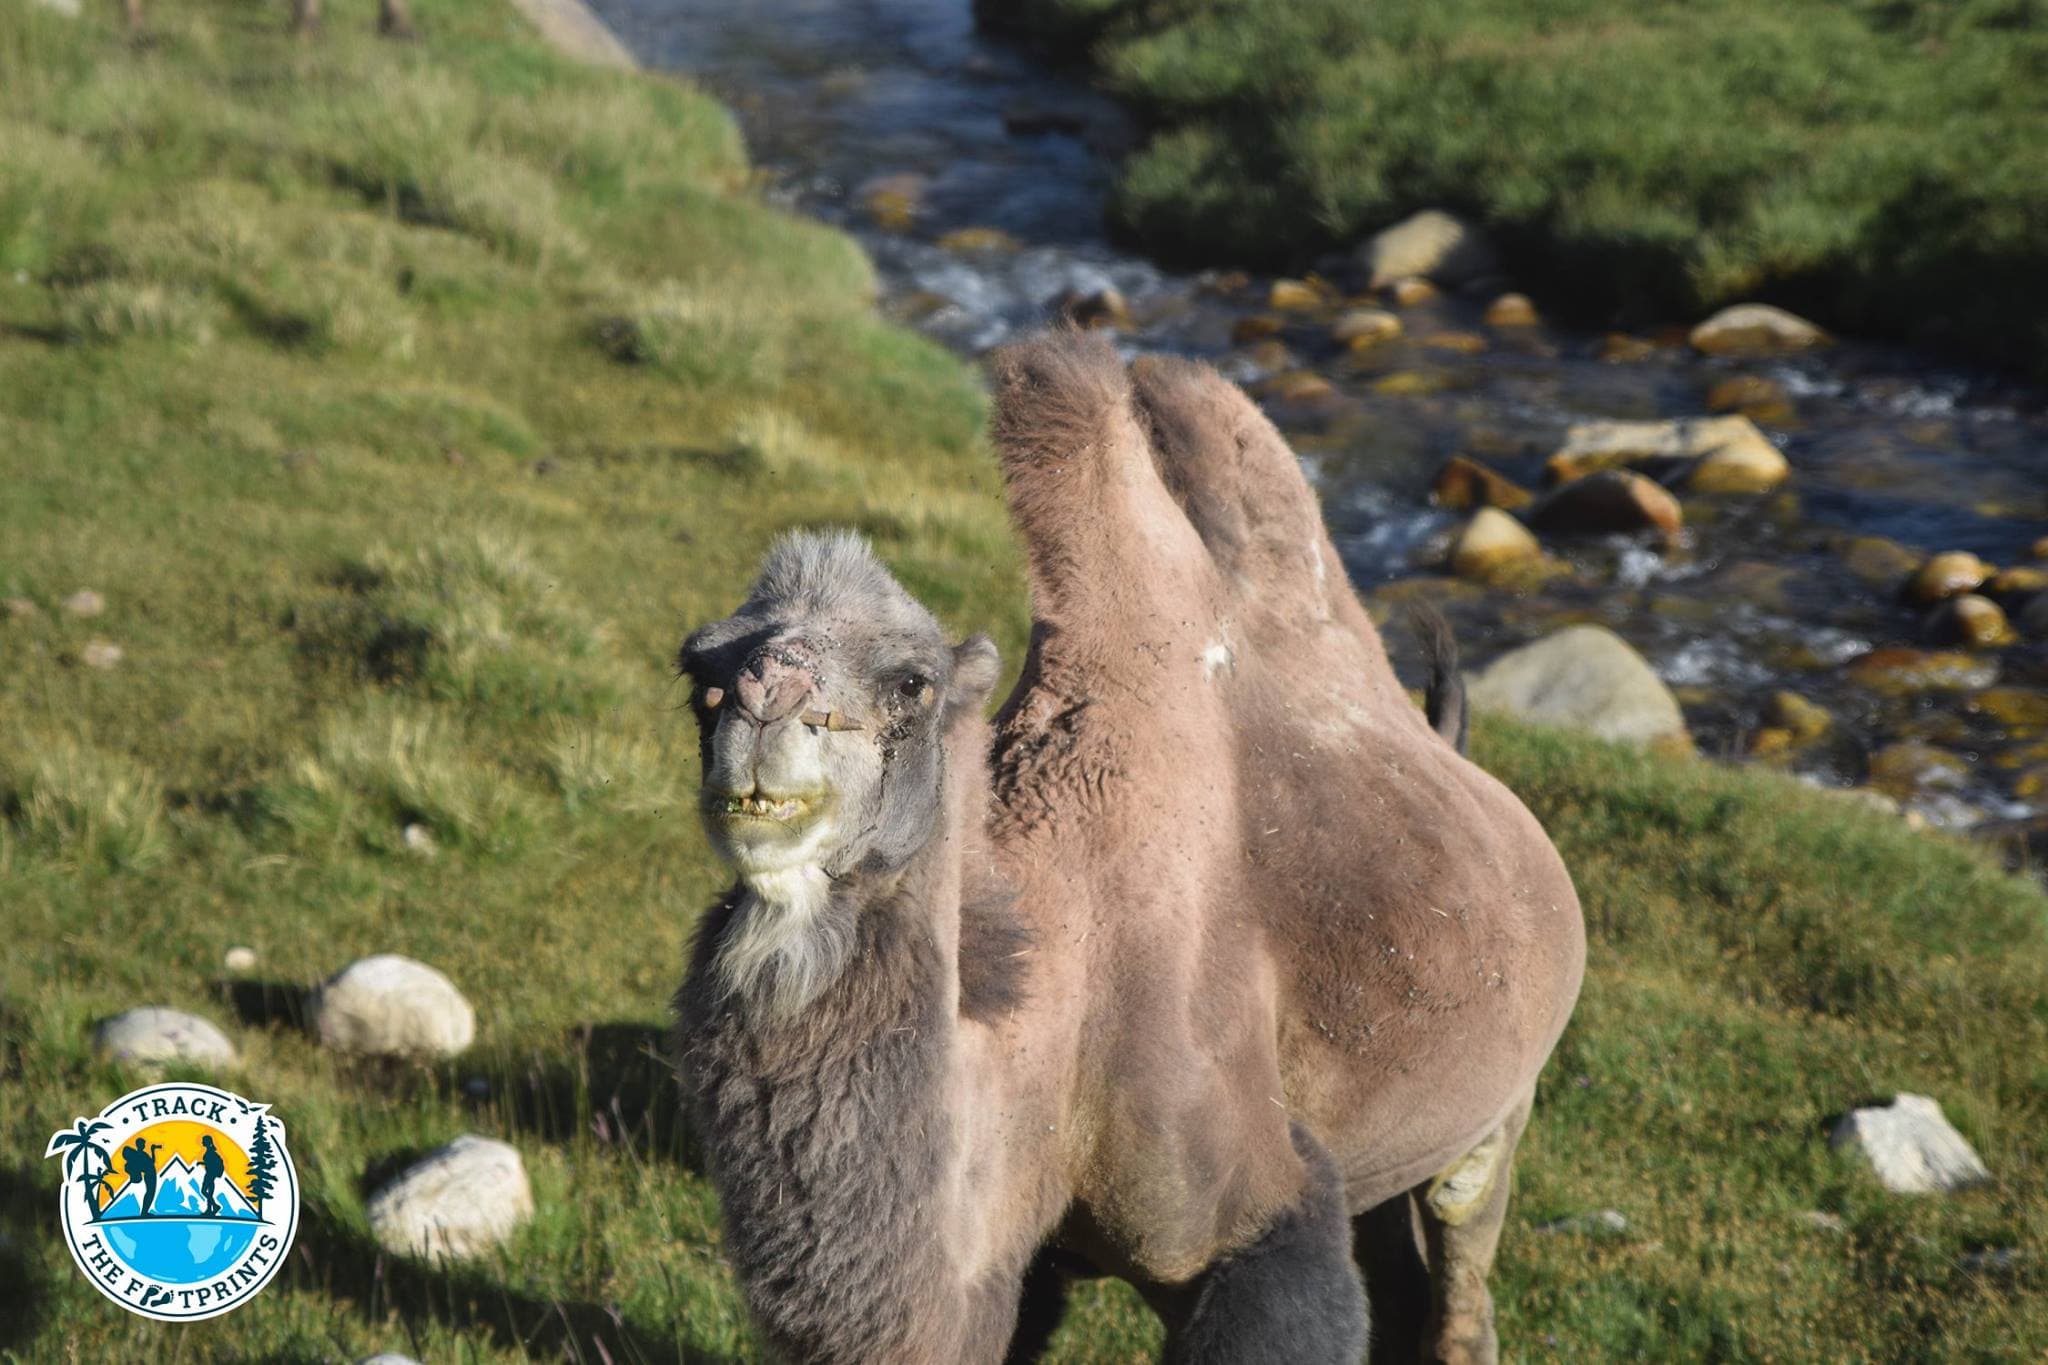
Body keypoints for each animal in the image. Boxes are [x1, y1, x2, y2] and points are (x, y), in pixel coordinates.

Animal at [672, 329, 1585, 1363]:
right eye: (698, 670)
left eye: (912, 682)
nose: (761, 698)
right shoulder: (1025, 1264)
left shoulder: (1256, 1211)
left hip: (1504, 1101)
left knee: (1463, 1251)